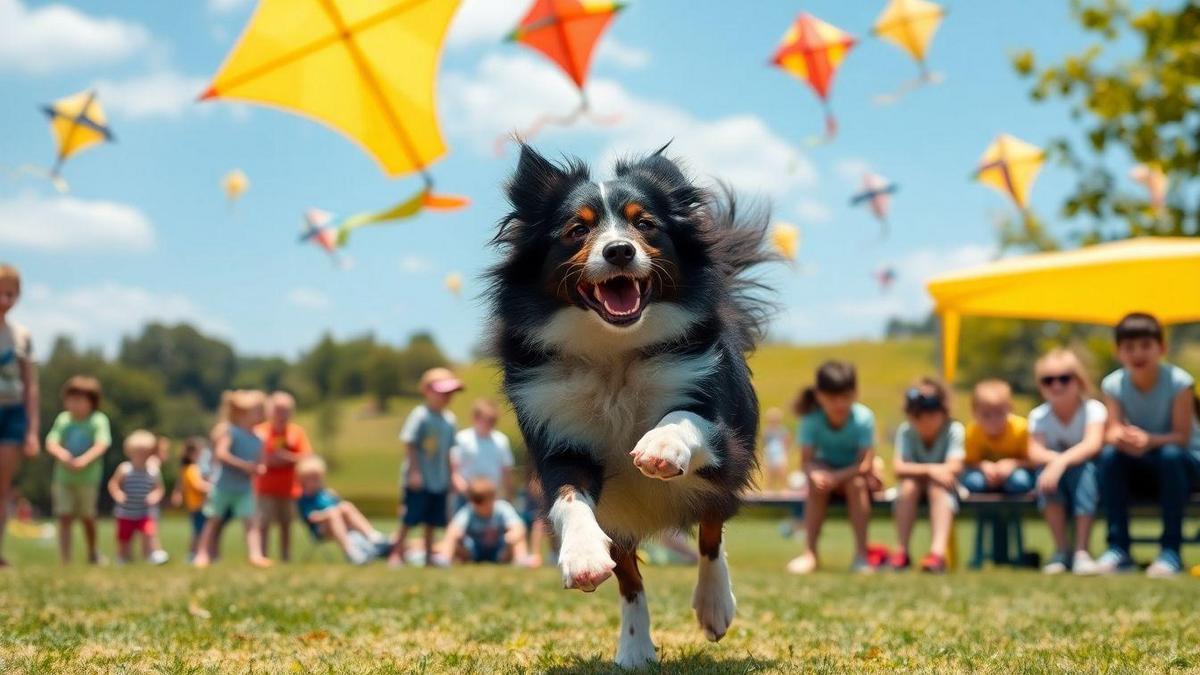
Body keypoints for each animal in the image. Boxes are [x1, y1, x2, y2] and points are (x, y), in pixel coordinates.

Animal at [484, 144, 768, 662]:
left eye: (645, 224)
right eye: (577, 230)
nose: (619, 250)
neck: (613, 351)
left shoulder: (722, 426)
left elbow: (685, 417)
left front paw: (660, 447)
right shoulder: (558, 437)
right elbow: (568, 496)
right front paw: (581, 557)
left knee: (712, 527)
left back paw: (714, 605)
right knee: (630, 576)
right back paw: (635, 648)